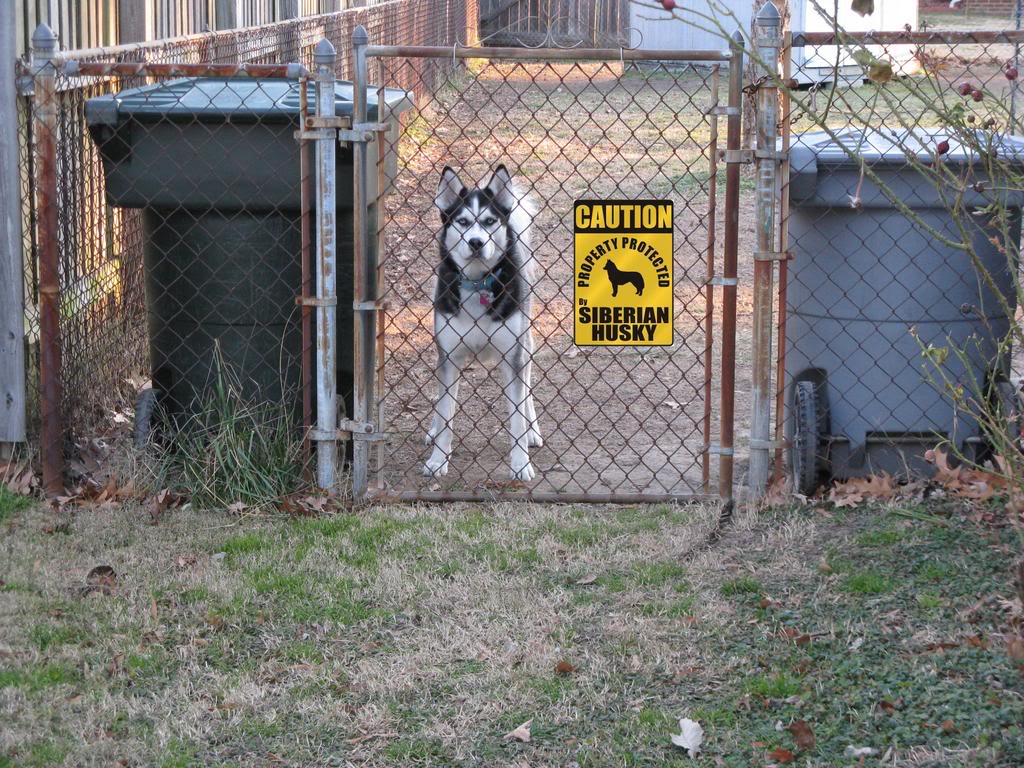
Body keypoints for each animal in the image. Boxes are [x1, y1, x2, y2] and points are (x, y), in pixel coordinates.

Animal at [421, 165, 540, 481]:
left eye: (488, 221)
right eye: (462, 222)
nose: (476, 242)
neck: (477, 284)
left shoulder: (513, 357)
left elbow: (516, 420)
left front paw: (521, 464)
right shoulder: (450, 356)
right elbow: (447, 412)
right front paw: (438, 459)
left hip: (525, 345)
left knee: (528, 387)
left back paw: (533, 430)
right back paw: (433, 429)